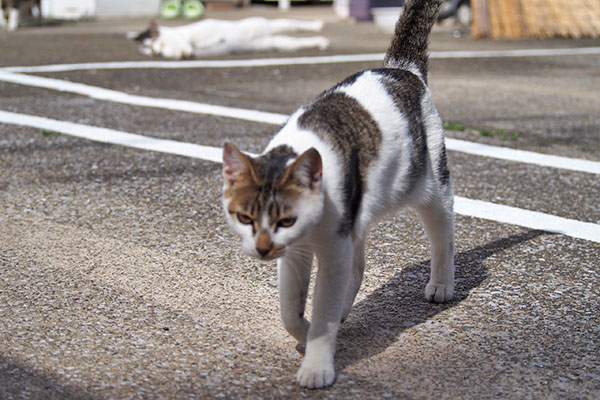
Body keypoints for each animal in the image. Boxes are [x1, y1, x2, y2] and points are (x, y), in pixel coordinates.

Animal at [223, 0, 452, 390]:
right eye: (245, 218)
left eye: (286, 219)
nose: (263, 248)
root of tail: (401, 69)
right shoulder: (297, 253)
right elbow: (289, 309)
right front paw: (305, 331)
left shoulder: (331, 249)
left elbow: (323, 309)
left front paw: (317, 366)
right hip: (357, 218)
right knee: (358, 266)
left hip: (431, 187)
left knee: (443, 236)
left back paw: (441, 285)